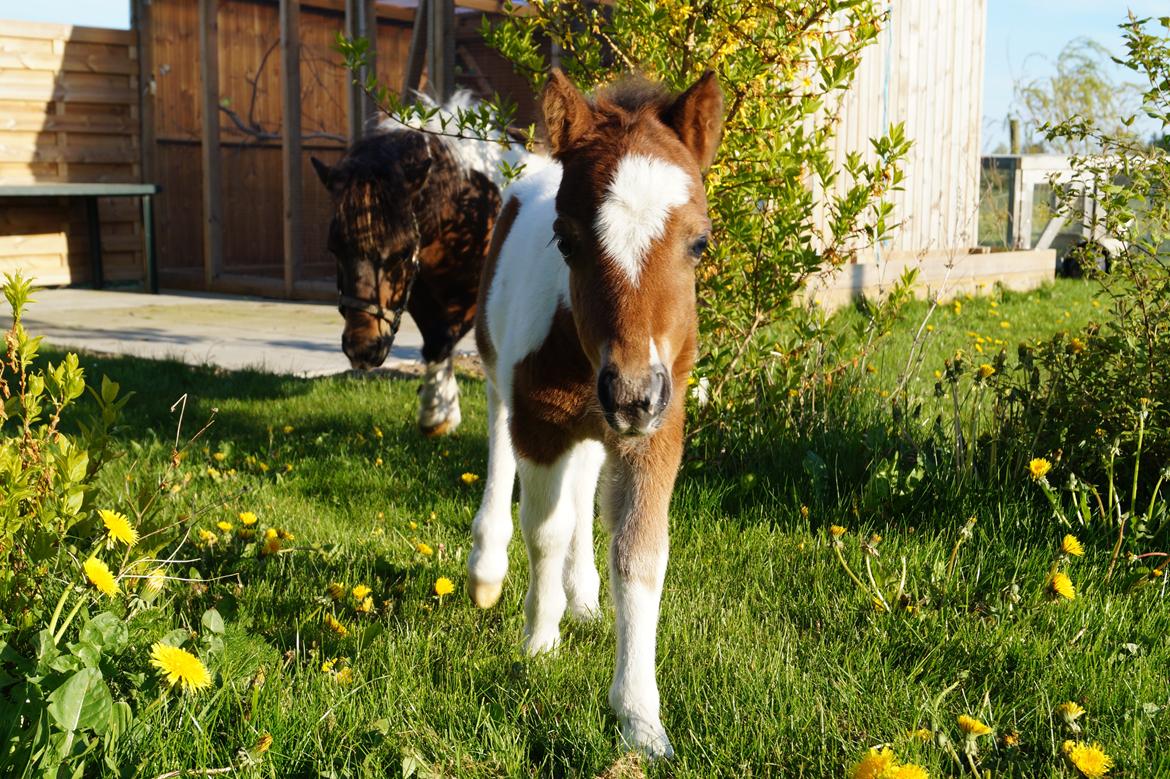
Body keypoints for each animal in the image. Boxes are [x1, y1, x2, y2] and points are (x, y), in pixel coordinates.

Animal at [465, 71, 720, 753]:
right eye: (566, 239)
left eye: (700, 242)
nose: (631, 394)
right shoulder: (541, 424)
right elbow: (544, 532)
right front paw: (538, 644)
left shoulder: (655, 434)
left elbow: (639, 554)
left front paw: (640, 719)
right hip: (501, 381)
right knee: (501, 456)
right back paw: (488, 569)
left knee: (583, 489)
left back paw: (582, 597)